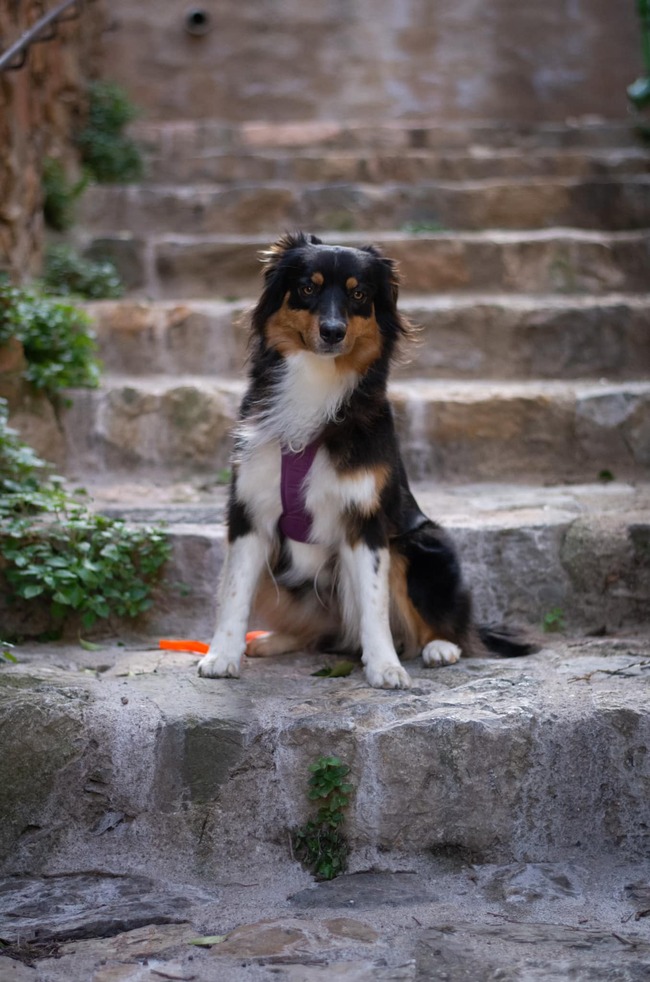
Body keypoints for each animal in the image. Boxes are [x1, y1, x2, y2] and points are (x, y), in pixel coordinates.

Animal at [199, 233, 532, 692]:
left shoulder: (367, 520)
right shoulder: (249, 511)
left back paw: (440, 647)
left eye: (359, 295)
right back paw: (273, 639)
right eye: (308, 287)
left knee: (442, 624)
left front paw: (385, 667)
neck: (316, 383)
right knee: (324, 631)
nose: (332, 332)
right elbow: (233, 592)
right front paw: (221, 655)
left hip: (421, 543)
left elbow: (374, 604)